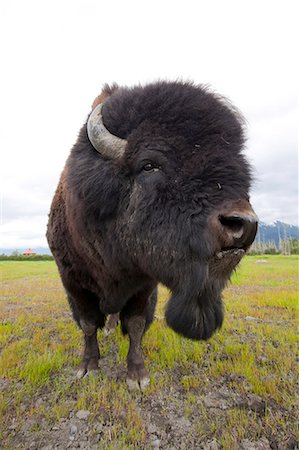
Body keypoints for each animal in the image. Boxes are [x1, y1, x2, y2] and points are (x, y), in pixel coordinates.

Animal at [47, 81, 258, 390]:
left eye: (240, 168)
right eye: (149, 165)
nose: (243, 224)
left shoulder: (144, 284)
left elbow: (135, 324)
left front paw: (137, 375)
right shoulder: (73, 281)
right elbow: (88, 324)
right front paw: (88, 367)